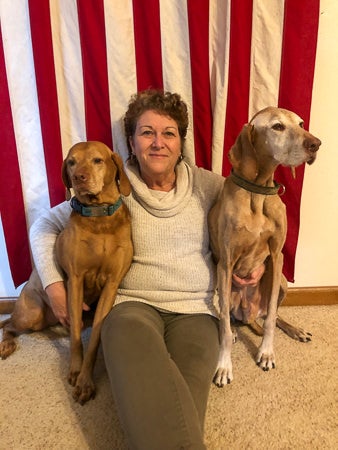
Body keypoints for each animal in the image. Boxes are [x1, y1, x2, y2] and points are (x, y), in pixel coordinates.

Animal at [0, 142, 133, 404]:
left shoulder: (111, 285)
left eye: (97, 160)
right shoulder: (76, 281)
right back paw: (6, 344)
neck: (99, 218)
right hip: (32, 314)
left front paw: (85, 380)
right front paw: (75, 371)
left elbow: (94, 337)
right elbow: (75, 337)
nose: (79, 178)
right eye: (71, 162)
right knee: (9, 324)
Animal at [209, 108, 322, 386]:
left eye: (301, 123)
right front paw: (224, 366)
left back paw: (296, 330)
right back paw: (234, 330)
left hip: (280, 281)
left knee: (272, 314)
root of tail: (248, 315)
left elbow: (270, 317)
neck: (258, 192)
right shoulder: (226, 262)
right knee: (225, 319)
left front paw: (267, 352)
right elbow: (224, 327)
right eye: (277, 127)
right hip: (218, 284)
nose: (316, 144)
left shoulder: (277, 256)